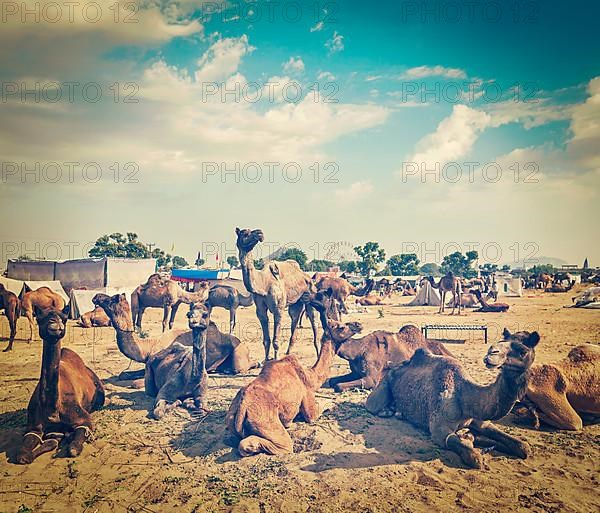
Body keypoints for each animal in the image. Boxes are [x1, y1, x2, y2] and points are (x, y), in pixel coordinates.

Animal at [16, 308, 105, 464]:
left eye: (64, 318)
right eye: (40, 318)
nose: (55, 324)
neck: (52, 409)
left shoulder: (84, 419)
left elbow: (74, 449)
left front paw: (67, 437)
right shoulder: (33, 427)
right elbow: (23, 455)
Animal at [92, 290, 256, 378]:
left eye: (112, 299)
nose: (96, 296)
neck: (148, 347)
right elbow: (124, 374)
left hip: (239, 354)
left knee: (240, 367)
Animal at [225, 316, 360, 456]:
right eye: (341, 327)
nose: (358, 324)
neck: (311, 376)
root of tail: (243, 405)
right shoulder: (308, 399)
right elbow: (315, 412)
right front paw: (331, 403)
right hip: (266, 420)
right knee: (279, 444)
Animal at [236, 226, 322, 362]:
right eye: (245, 233)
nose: (259, 233)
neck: (263, 283)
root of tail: (308, 277)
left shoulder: (278, 309)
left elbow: (275, 340)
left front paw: (275, 360)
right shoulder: (260, 310)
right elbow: (266, 340)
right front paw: (266, 360)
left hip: (311, 295)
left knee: (314, 320)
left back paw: (318, 355)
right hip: (296, 303)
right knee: (294, 319)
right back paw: (288, 354)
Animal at [366, 328, 540, 468]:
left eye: (523, 351)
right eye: (499, 342)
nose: (491, 353)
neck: (464, 396)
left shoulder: (481, 420)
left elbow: (522, 446)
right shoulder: (439, 429)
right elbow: (473, 457)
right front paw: (471, 445)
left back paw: (395, 411)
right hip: (383, 385)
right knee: (372, 405)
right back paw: (388, 412)